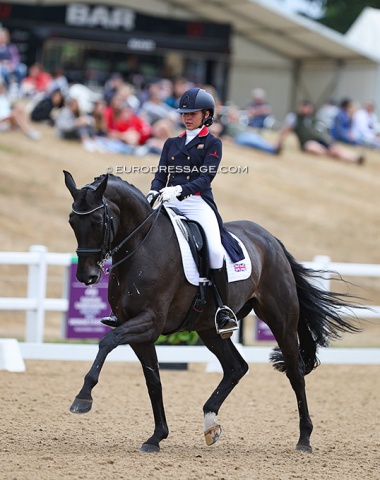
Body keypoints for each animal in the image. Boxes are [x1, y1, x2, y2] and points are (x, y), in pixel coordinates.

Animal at [63, 172, 360, 454]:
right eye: (72, 221)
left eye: (98, 221)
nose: (86, 276)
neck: (142, 247)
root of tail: (270, 239)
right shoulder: (138, 330)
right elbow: (153, 381)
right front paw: (156, 437)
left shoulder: (150, 322)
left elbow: (107, 342)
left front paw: (82, 398)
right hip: (209, 329)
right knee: (236, 367)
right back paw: (210, 423)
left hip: (281, 320)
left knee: (295, 371)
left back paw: (304, 439)